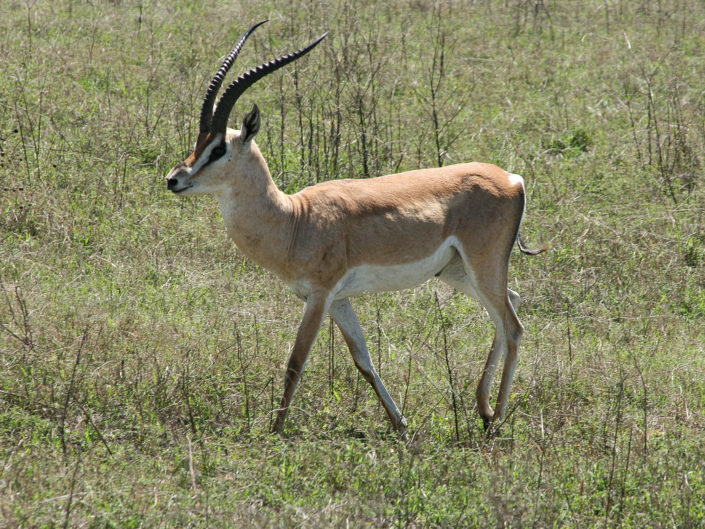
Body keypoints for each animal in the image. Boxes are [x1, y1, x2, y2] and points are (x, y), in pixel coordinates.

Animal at [166, 22, 546, 437]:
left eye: (219, 148)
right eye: (199, 141)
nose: (174, 179)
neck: (295, 219)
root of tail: (511, 179)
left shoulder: (320, 296)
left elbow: (295, 362)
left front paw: (275, 431)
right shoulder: (339, 300)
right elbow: (364, 360)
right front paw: (401, 424)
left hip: (481, 266)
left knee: (512, 327)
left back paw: (496, 420)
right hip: (457, 272)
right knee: (511, 302)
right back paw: (484, 409)